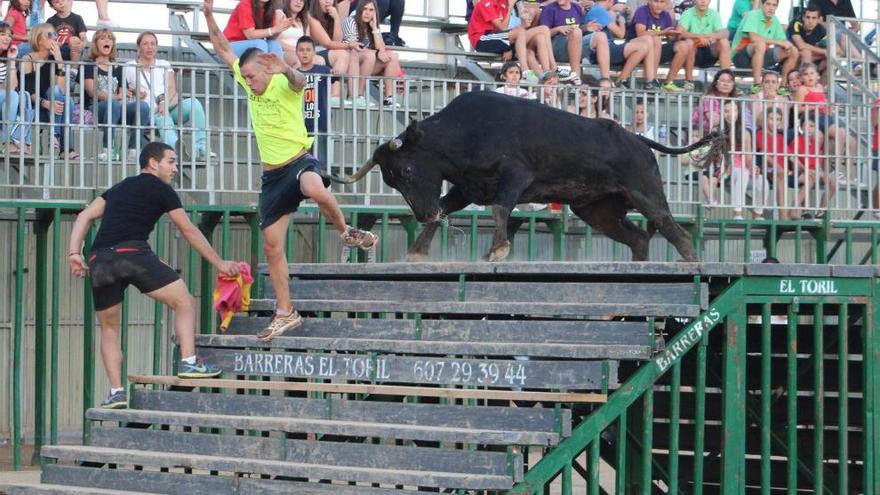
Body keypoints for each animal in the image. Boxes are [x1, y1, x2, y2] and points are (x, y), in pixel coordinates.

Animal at [330, 92, 720, 264]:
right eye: (391, 181)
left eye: (407, 170)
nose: (421, 213)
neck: (464, 131)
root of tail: (638, 140)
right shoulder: (466, 188)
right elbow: (446, 208)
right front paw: (417, 251)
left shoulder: (515, 177)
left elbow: (501, 210)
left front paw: (497, 249)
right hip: (597, 210)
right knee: (638, 238)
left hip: (646, 194)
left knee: (677, 234)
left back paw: (691, 262)